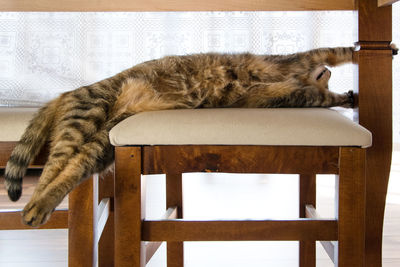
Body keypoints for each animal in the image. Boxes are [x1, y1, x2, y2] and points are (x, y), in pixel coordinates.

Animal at [3, 46, 354, 226]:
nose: (326, 75)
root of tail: (65, 93)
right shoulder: (293, 65)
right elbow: (332, 53)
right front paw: (348, 80)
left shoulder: (289, 94)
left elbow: (320, 91)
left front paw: (344, 95)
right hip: (88, 114)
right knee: (54, 167)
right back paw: (37, 205)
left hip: (103, 142)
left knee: (68, 167)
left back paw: (38, 205)